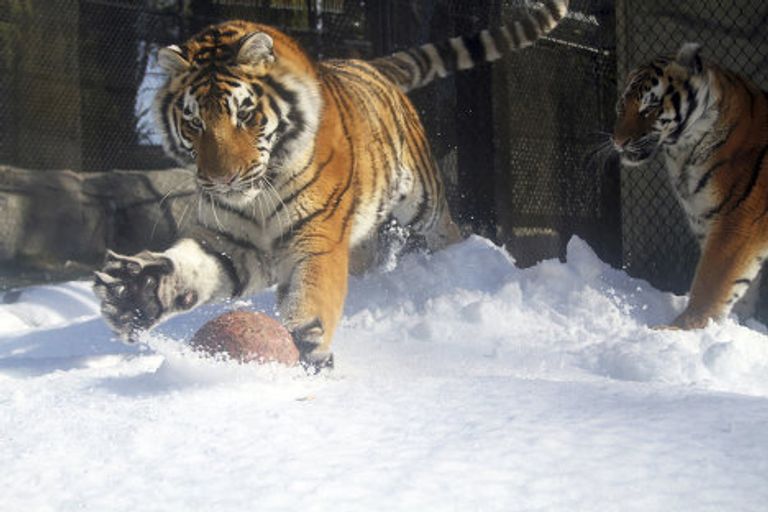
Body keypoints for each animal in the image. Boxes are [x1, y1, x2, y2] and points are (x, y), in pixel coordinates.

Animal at [94, 1, 570, 369]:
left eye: (244, 114)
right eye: (194, 122)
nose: (220, 180)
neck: (258, 194)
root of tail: (368, 62)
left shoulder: (316, 236)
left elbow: (313, 292)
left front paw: (309, 346)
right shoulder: (230, 242)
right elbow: (192, 269)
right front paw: (132, 294)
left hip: (422, 200)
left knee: (446, 231)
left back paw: (460, 266)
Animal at [612, 42, 768, 330]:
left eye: (648, 109)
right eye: (622, 105)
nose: (618, 142)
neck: (682, 155)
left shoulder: (737, 220)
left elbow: (712, 283)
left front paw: (679, 329)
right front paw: (739, 326)